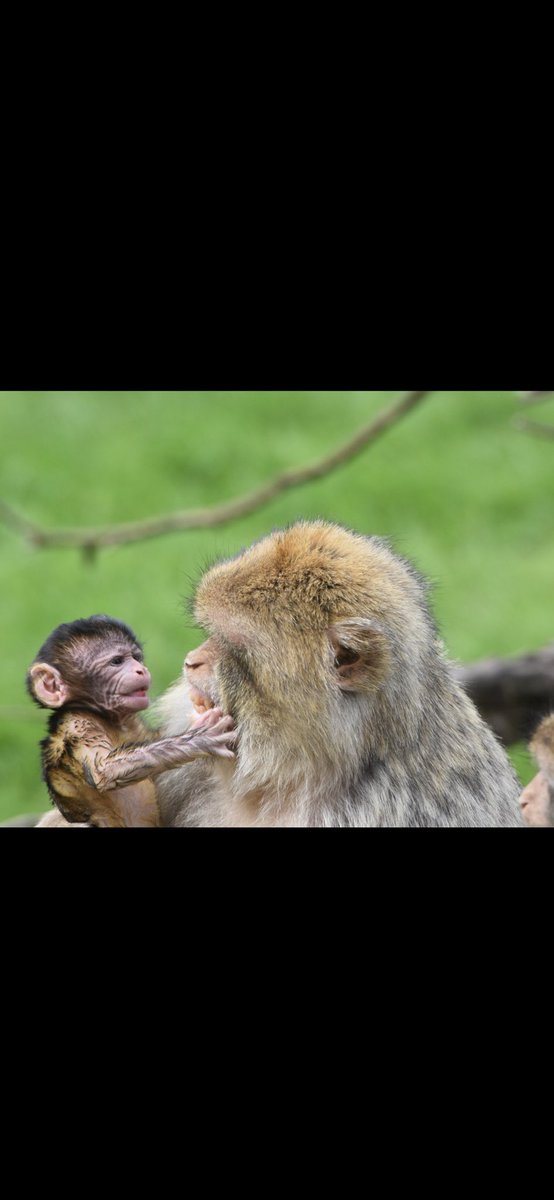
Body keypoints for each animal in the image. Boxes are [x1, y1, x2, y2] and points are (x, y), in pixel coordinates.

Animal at [27, 615, 236, 828]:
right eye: (117, 661)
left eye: (136, 657)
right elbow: (104, 771)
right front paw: (201, 738)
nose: (141, 670)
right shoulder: (79, 724)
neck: (108, 718)